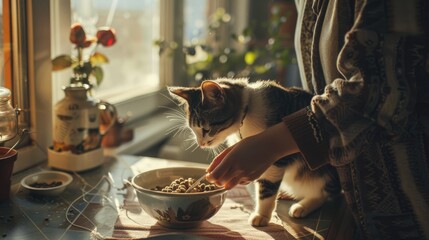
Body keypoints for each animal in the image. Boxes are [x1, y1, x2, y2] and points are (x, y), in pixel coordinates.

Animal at [169, 78, 340, 227]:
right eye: (193, 129)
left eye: (205, 129)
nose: (201, 144)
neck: (246, 116)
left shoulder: (274, 160)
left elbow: (266, 187)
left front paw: (261, 215)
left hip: (322, 171)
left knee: (324, 191)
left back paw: (303, 206)